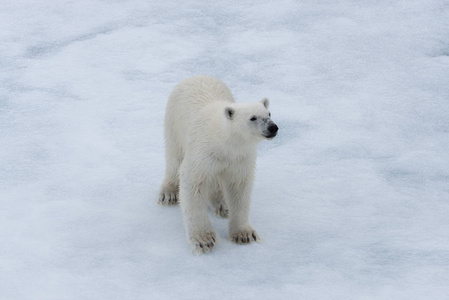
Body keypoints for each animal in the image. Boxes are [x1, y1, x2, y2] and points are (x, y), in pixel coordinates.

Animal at [158, 75, 276, 253]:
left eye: (269, 113)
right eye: (253, 118)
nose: (273, 127)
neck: (225, 141)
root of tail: (196, 76)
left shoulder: (240, 158)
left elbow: (239, 187)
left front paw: (244, 234)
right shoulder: (202, 153)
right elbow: (193, 182)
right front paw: (204, 240)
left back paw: (222, 205)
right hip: (174, 121)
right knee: (174, 157)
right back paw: (169, 193)